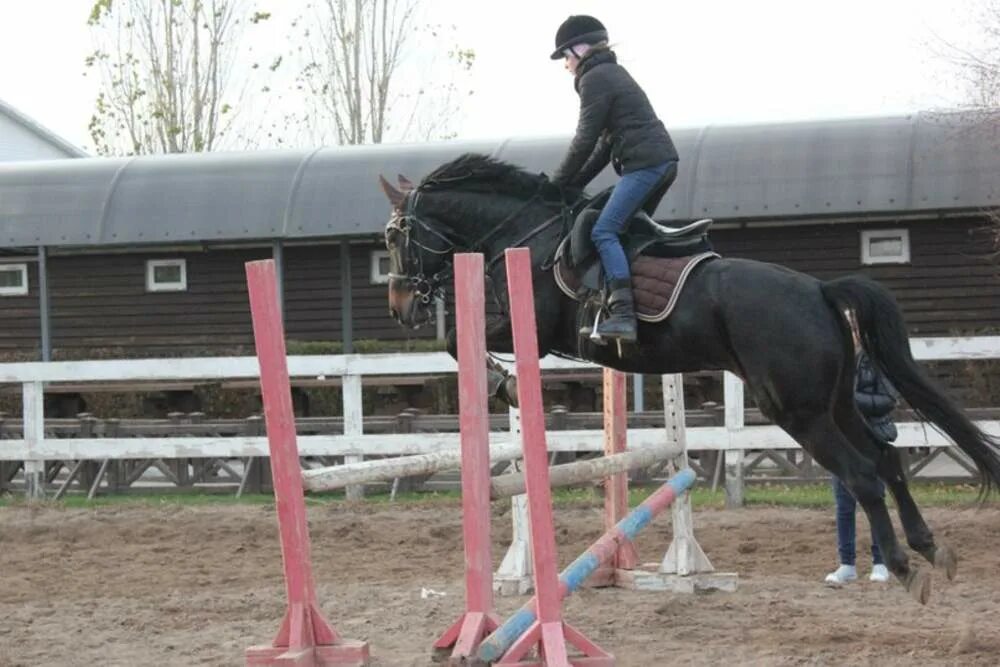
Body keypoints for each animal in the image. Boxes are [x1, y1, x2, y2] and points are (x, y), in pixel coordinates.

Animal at [378, 154, 1000, 604]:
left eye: (393, 238)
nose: (402, 306)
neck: (528, 233)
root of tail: (820, 290)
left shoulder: (527, 324)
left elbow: (457, 342)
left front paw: (502, 383)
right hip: (835, 401)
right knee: (887, 459)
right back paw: (929, 548)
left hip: (797, 410)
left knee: (864, 474)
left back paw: (902, 566)